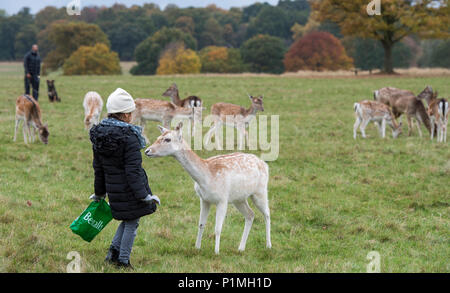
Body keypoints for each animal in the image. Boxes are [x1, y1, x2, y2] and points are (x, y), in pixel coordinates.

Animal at [144, 121, 270, 253]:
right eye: (158, 137)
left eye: (167, 139)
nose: (147, 151)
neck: (205, 178)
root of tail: (264, 164)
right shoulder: (204, 199)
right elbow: (201, 224)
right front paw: (197, 247)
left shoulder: (222, 199)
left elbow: (218, 228)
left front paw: (216, 252)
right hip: (239, 198)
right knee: (250, 214)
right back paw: (241, 248)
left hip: (260, 191)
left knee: (267, 214)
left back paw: (268, 245)